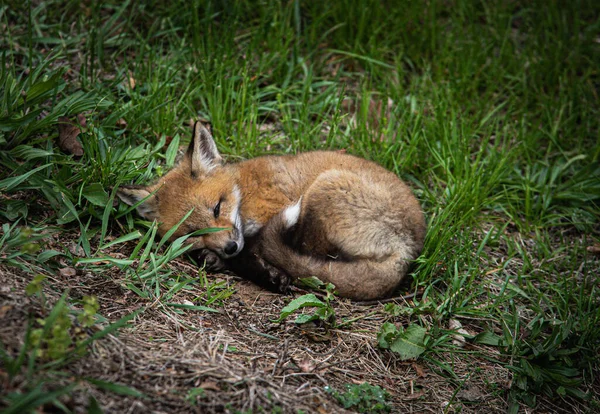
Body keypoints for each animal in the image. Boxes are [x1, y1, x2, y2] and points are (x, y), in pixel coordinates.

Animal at [117, 121, 426, 300]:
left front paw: (266, 274)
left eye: (217, 207)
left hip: (323, 188)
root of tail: (409, 251)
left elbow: (256, 252)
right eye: (194, 232)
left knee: (303, 258)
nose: (229, 247)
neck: (244, 190)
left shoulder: (274, 209)